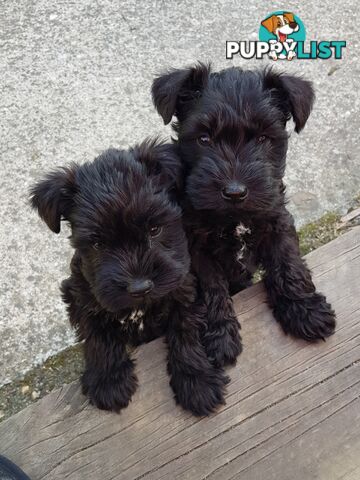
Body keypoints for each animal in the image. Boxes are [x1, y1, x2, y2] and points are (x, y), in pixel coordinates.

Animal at [31, 140, 228, 416]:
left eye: (154, 229)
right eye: (98, 243)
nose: (139, 287)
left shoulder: (184, 287)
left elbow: (186, 330)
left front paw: (197, 381)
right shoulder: (79, 295)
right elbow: (97, 336)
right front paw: (109, 380)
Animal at [152, 63, 334, 368]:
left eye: (262, 138)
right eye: (204, 138)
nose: (235, 192)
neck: (233, 217)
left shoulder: (277, 221)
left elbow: (288, 264)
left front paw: (305, 310)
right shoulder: (197, 249)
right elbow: (212, 287)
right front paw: (219, 336)